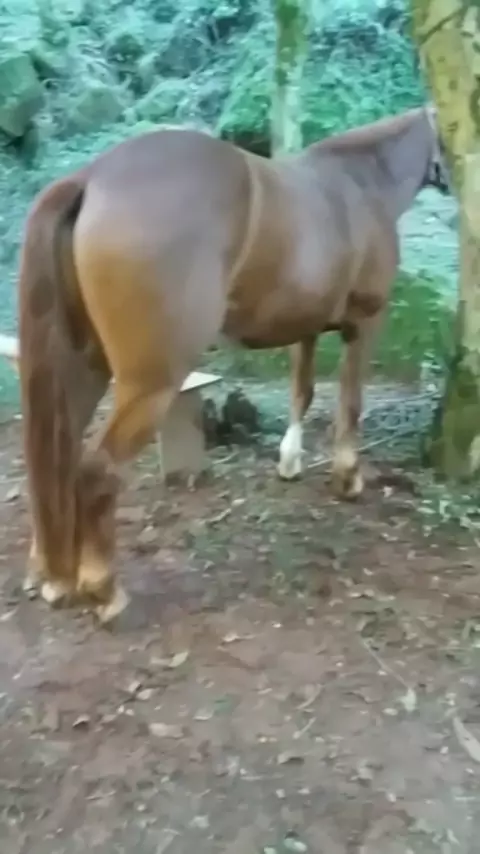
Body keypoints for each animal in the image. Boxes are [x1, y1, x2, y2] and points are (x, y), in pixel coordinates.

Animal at [18, 105, 448, 625]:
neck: (360, 183)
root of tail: (91, 176)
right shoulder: (364, 323)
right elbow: (351, 403)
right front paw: (348, 478)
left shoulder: (305, 328)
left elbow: (302, 391)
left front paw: (290, 462)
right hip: (150, 385)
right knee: (96, 471)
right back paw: (102, 589)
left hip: (86, 368)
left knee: (55, 455)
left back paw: (51, 575)